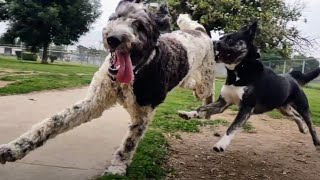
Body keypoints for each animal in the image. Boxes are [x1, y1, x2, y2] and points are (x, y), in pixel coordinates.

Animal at [0, 0, 215, 175]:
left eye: (140, 26)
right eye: (115, 18)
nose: (114, 39)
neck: (131, 76)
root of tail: (199, 31)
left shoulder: (142, 115)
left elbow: (128, 144)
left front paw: (117, 168)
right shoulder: (94, 102)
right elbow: (54, 122)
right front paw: (15, 148)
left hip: (205, 80)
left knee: (207, 91)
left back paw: (204, 108)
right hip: (186, 79)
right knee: (191, 84)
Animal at [179, 21, 320, 153]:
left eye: (230, 39)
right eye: (221, 37)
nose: (213, 42)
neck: (239, 71)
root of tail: (291, 77)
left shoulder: (246, 108)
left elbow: (232, 127)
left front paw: (221, 144)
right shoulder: (222, 103)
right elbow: (202, 108)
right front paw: (189, 114)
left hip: (302, 107)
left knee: (310, 124)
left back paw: (316, 142)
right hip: (283, 108)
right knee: (296, 116)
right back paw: (303, 128)